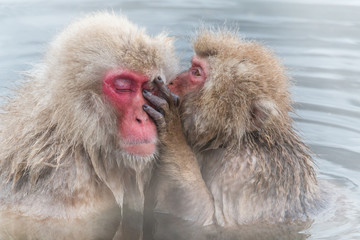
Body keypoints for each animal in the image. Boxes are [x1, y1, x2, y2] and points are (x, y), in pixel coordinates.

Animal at [144, 28, 326, 229]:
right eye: (193, 66)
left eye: (196, 73)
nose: (171, 81)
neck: (227, 141)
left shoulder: (245, 171)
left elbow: (207, 219)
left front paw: (172, 128)